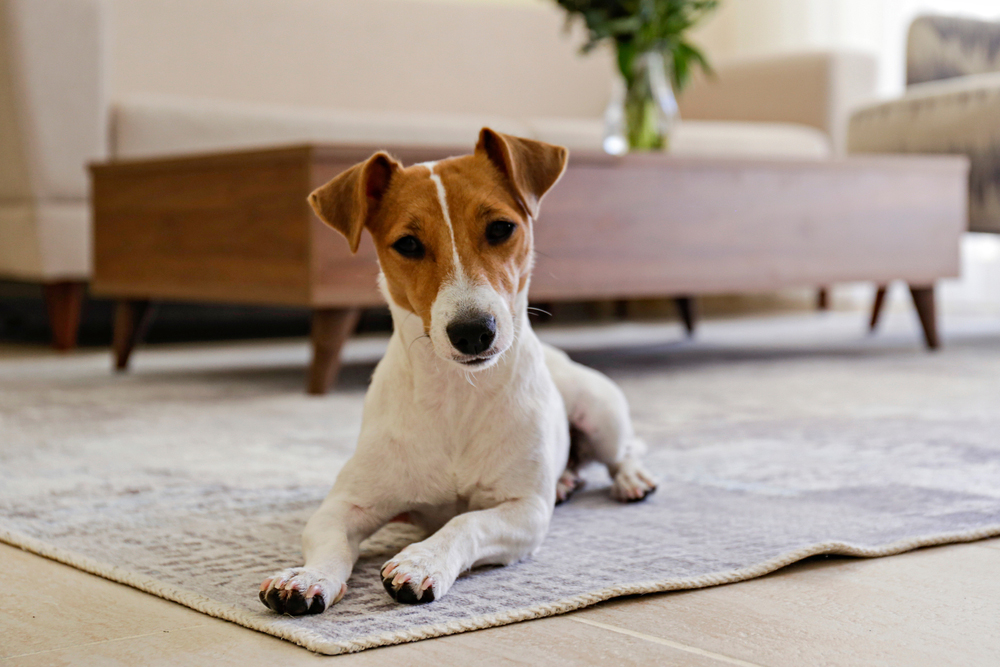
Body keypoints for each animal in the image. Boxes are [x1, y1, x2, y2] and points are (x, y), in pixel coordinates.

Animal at [258, 126, 656, 616]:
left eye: (501, 228)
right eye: (408, 244)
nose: (473, 332)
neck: (457, 393)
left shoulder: (523, 512)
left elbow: (466, 522)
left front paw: (421, 561)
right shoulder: (345, 505)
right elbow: (329, 541)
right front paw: (308, 577)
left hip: (599, 411)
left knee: (623, 451)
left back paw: (631, 479)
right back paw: (567, 479)